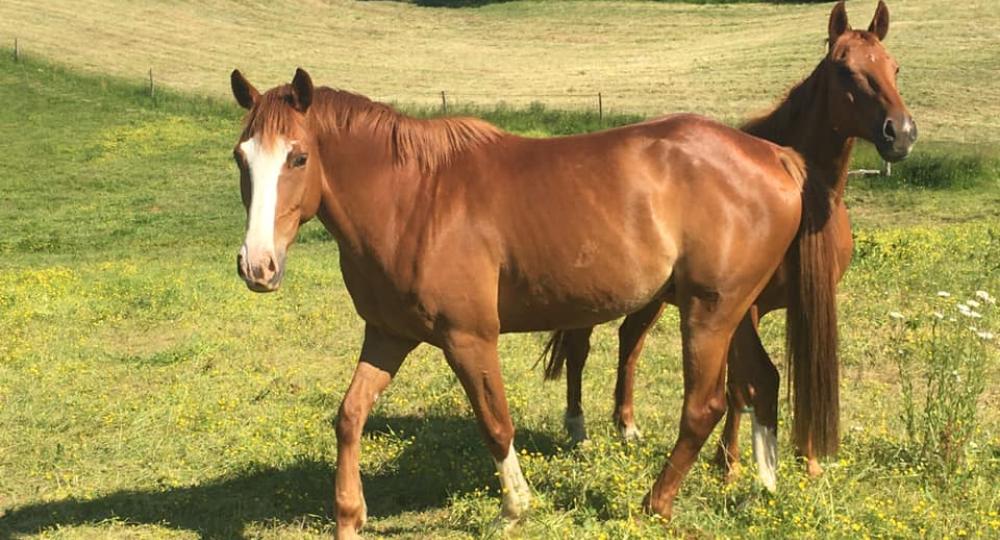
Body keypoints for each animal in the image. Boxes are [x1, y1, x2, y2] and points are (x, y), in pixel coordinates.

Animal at [230, 68, 808, 536]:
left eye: (298, 157)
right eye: (241, 158)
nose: (257, 266)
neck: (413, 199)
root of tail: (773, 155)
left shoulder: (468, 339)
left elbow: (495, 424)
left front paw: (515, 508)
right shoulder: (388, 336)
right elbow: (349, 415)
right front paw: (350, 516)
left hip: (708, 313)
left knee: (704, 406)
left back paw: (656, 505)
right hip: (733, 312)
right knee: (762, 380)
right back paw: (765, 486)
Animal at [544, 0, 916, 490]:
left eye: (894, 67)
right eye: (844, 69)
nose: (901, 133)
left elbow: (797, 371)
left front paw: (807, 461)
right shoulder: (746, 308)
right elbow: (743, 383)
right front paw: (729, 463)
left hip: (654, 298)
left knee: (630, 341)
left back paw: (626, 424)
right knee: (580, 346)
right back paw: (578, 426)